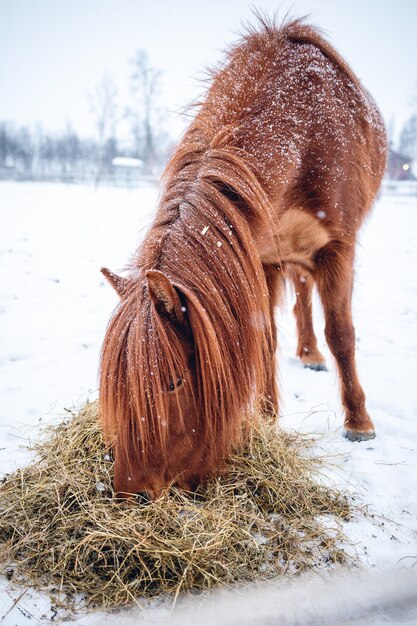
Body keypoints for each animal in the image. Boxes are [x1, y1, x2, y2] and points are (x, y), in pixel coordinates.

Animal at [99, 17, 386, 500]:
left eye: (174, 383)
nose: (129, 493)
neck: (303, 131)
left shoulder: (338, 247)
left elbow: (342, 334)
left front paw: (359, 423)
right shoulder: (262, 256)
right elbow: (263, 336)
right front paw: (266, 416)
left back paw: (316, 357)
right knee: (300, 295)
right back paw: (306, 352)